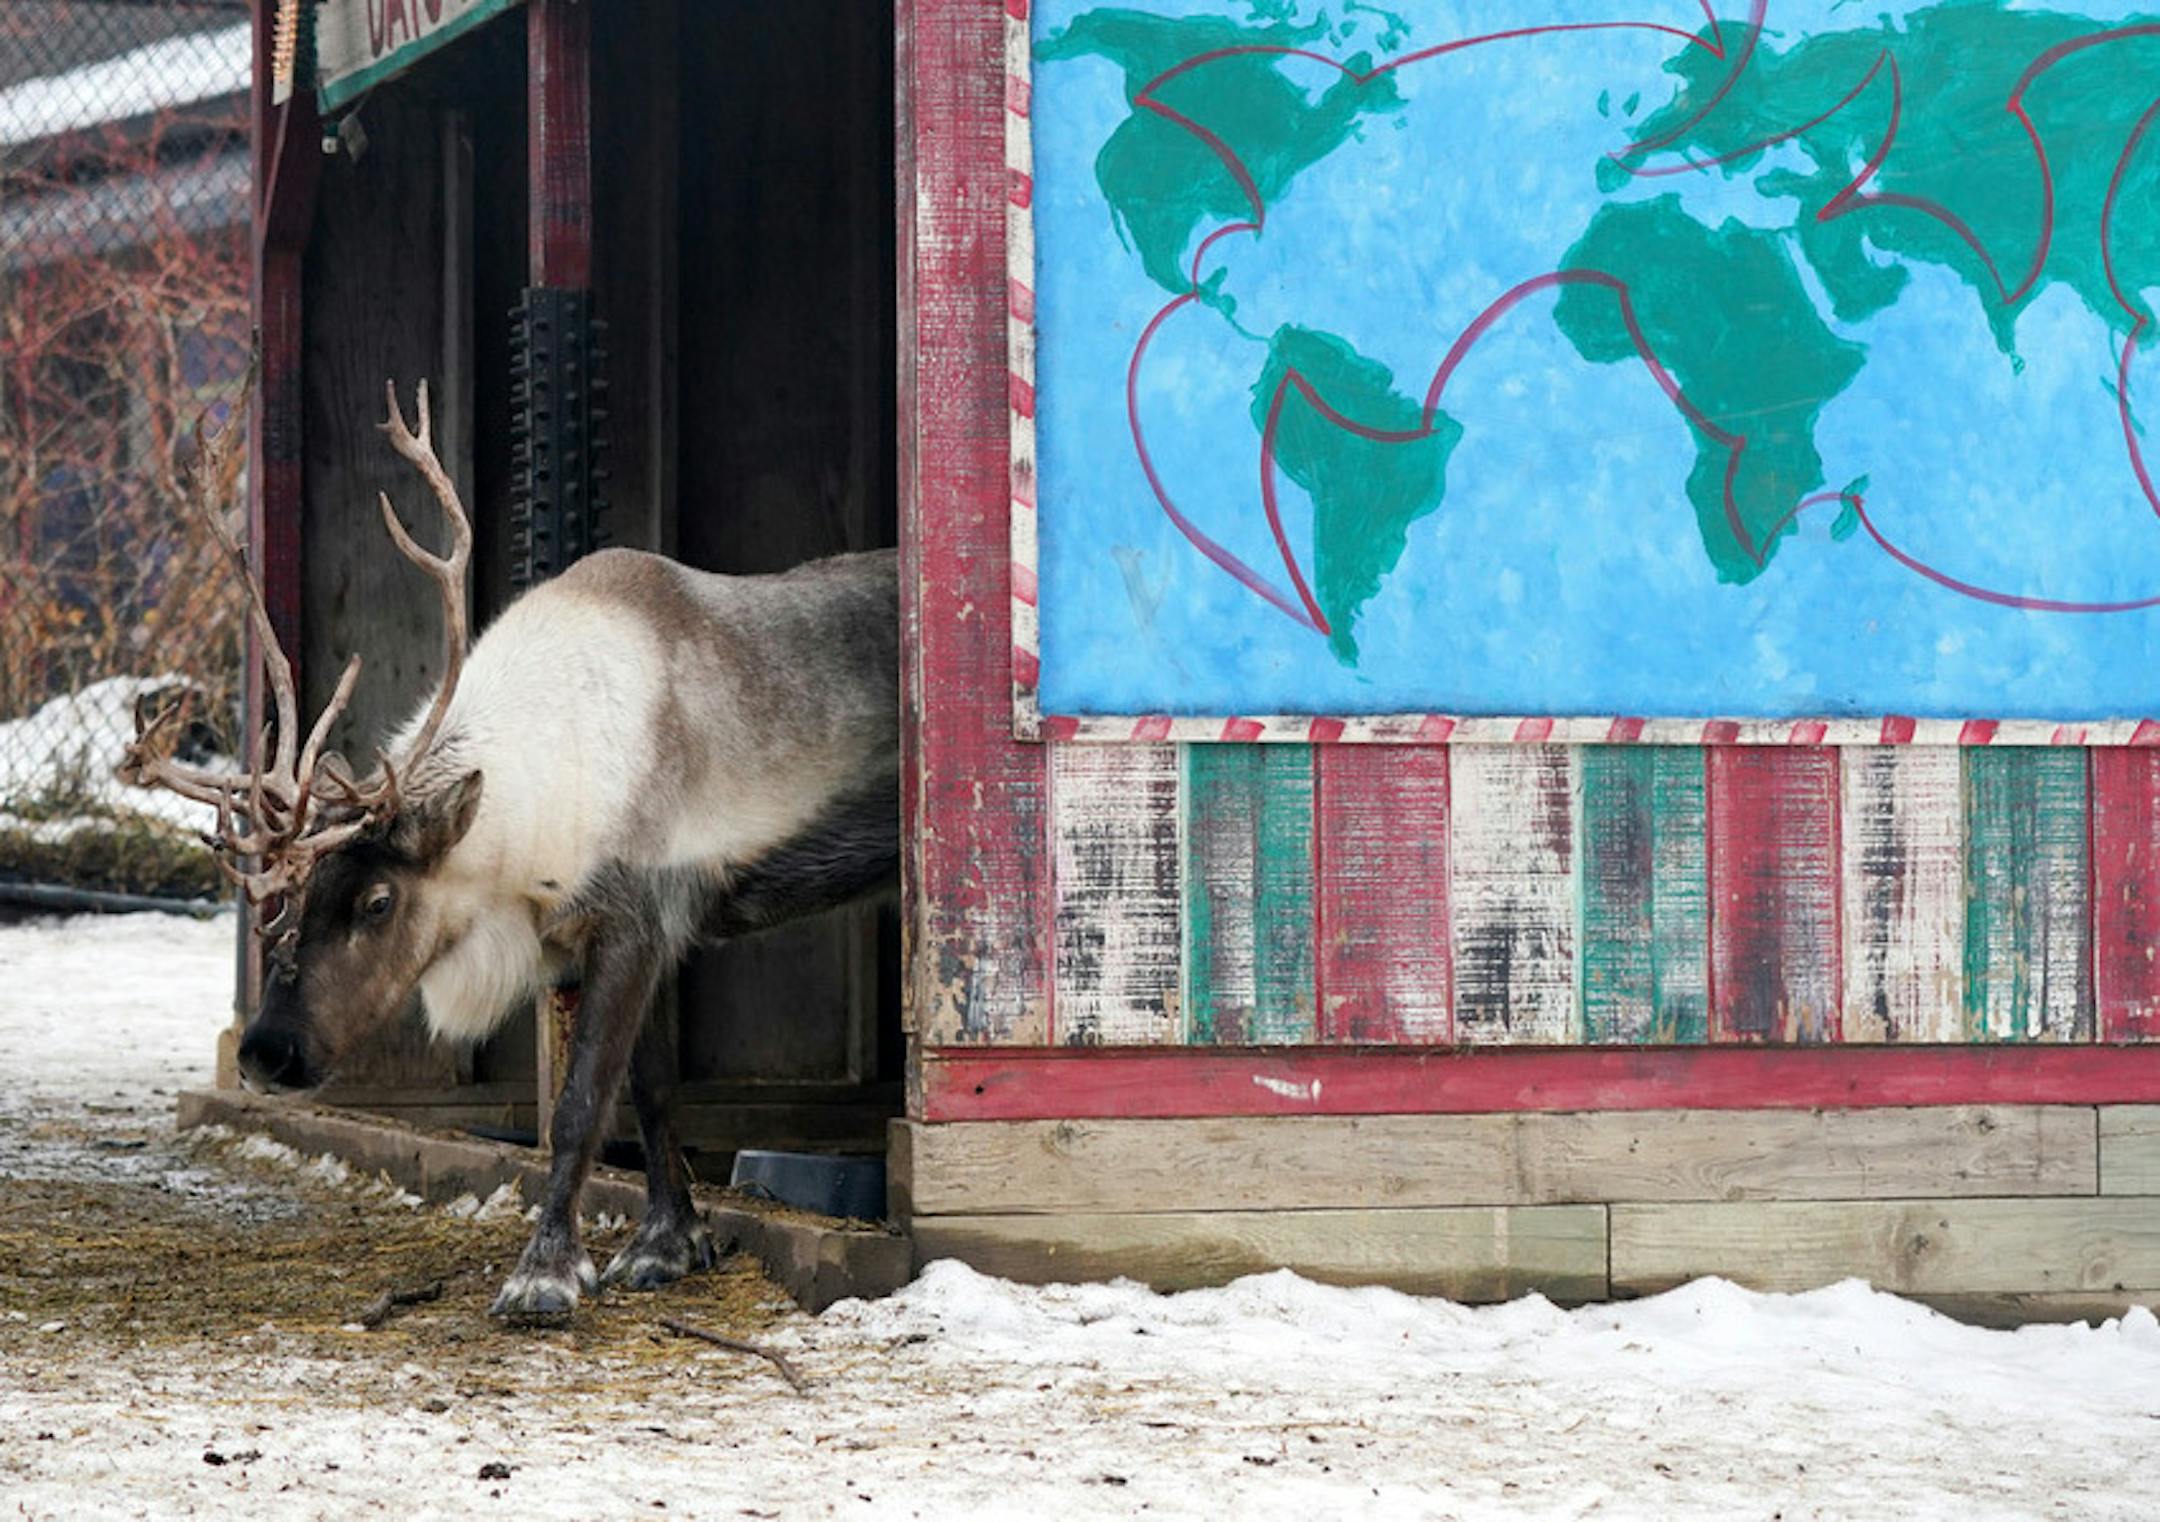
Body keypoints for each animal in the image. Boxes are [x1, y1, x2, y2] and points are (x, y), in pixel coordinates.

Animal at [123, 378, 897, 1318]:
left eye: (378, 901)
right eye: (292, 900)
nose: (268, 1050)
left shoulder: (636, 920)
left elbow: (582, 1104)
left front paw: (546, 1274)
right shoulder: (629, 934)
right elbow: (653, 1091)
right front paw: (669, 1243)